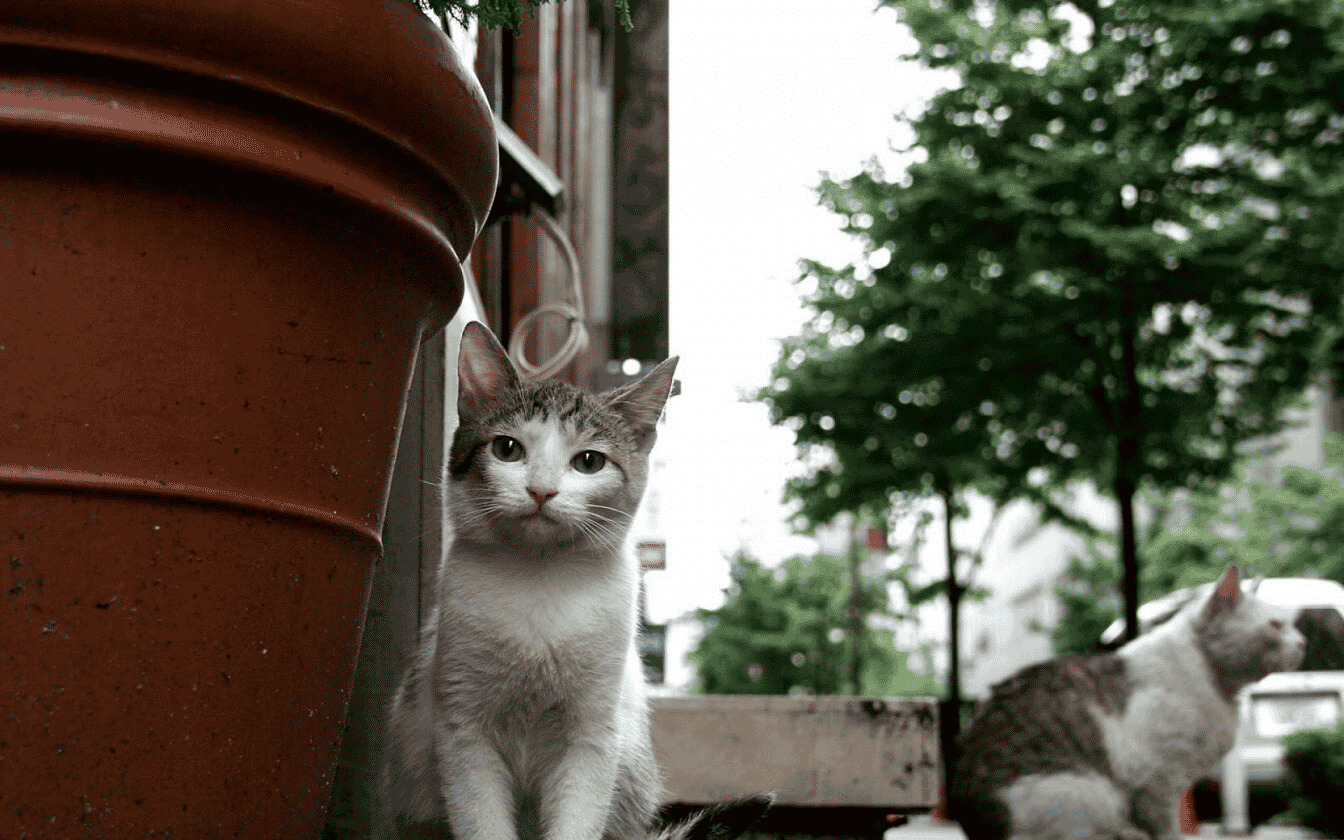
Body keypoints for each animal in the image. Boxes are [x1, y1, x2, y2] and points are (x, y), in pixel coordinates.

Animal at [384, 322, 774, 838]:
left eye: (589, 461)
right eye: (507, 449)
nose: (541, 490)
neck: (539, 577)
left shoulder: (592, 735)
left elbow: (577, 817)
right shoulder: (464, 732)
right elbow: (482, 819)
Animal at [951, 559, 1306, 840]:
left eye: (1291, 625)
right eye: (1276, 626)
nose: (1303, 643)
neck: (1218, 685)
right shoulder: (1157, 781)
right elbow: (1167, 831)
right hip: (1090, 793)